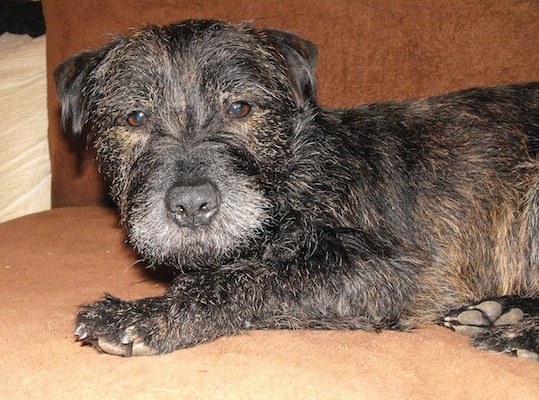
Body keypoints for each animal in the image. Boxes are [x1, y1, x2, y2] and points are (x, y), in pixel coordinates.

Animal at [54, 18, 539, 358]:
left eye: (240, 107)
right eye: (134, 117)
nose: (191, 205)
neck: (289, 178)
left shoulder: (395, 270)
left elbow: (260, 276)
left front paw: (143, 315)